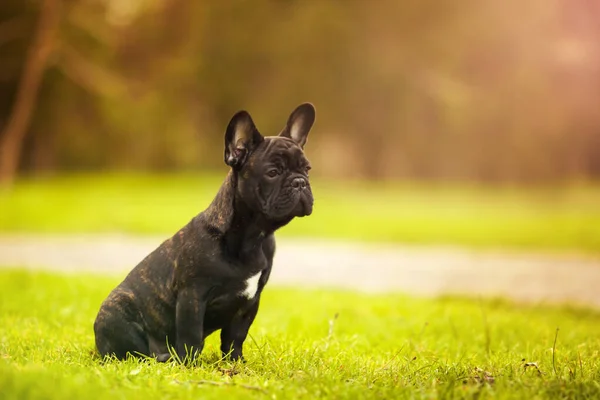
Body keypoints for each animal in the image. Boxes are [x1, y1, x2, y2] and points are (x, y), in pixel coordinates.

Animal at [94, 102, 316, 362]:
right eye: (273, 172)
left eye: (307, 169)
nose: (300, 182)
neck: (253, 236)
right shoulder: (192, 296)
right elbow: (190, 336)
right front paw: (190, 365)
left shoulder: (250, 302)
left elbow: (235, 337)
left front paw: (235, 362)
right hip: (117, 312)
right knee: (135, 351)